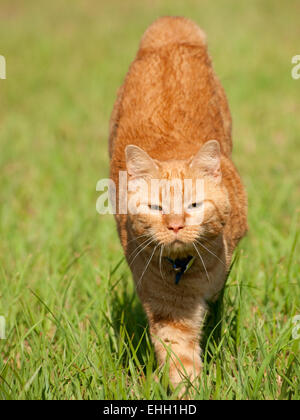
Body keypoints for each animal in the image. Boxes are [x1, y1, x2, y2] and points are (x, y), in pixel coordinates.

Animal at [109, 15, 247, 390]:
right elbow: (179, 357)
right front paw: (190, 389)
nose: (175, 225)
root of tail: (169, 22)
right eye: (156, 208)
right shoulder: (168, 312)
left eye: (195, 205)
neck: (185, 270)